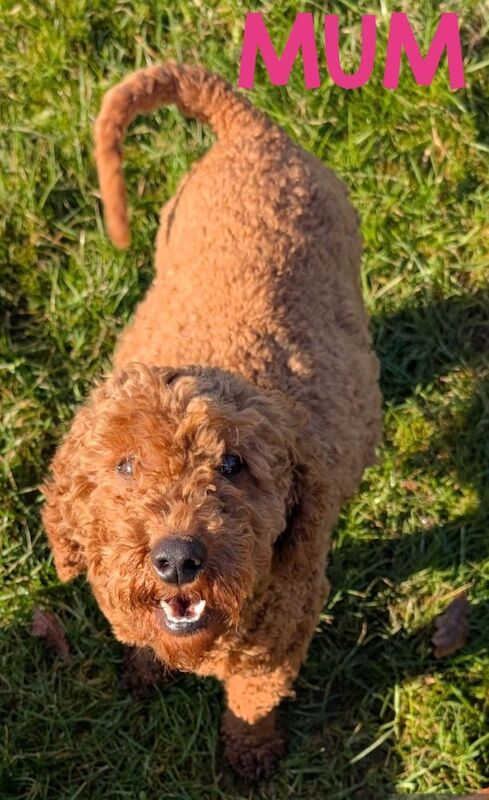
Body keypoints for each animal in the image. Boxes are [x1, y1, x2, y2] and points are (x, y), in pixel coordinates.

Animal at [42, 62, 382, 780]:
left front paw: (249, 756)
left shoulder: (283, 635)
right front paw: (145, 667)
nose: (177, 559)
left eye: (233, 466)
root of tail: (250, 129)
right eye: (124, 465)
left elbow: (253, 701)